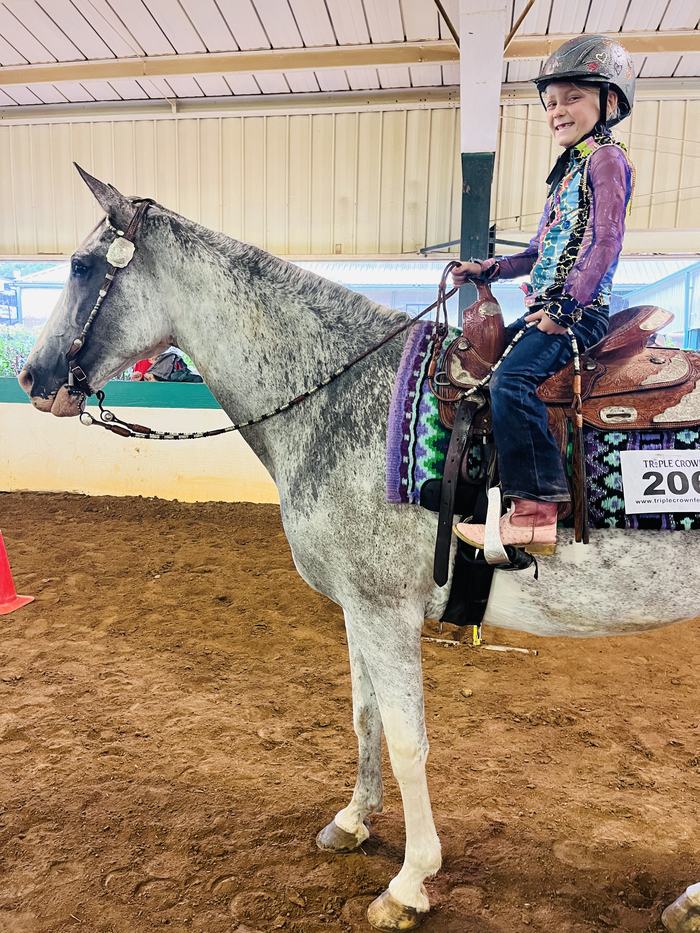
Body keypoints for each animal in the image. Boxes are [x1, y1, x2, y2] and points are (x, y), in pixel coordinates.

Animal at [18, 167, 699, 932]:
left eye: (82, 266)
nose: (33, 377)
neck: (344, 397)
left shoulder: (384, 610)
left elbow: (407, 740)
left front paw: (409, 881)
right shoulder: (358, 610)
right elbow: (364, 715)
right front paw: (353, 821)